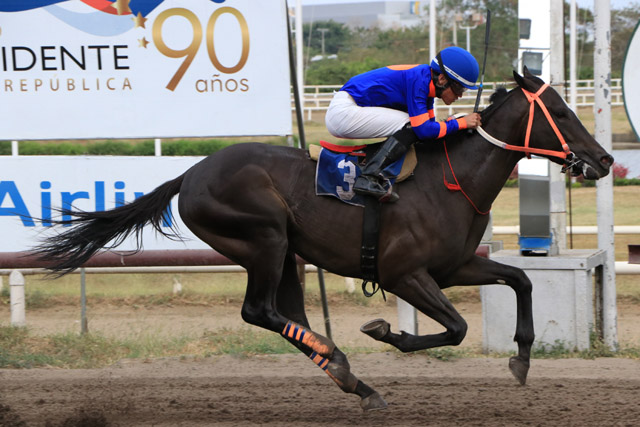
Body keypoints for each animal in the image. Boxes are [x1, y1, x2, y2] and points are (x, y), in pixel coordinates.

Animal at [35, 70, 616, 412]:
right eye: (562, 113)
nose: (606, 160)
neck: (451, 180)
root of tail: (191, 174)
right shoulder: (404, 274)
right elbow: (455, 328)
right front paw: (386, 332)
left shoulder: (453, 267)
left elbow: (520, 280)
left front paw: (522, 359)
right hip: (264, 237)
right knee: (259, 311)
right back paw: (345, 367)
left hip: (284, 251)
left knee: (284, 313)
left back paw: (345, 373)